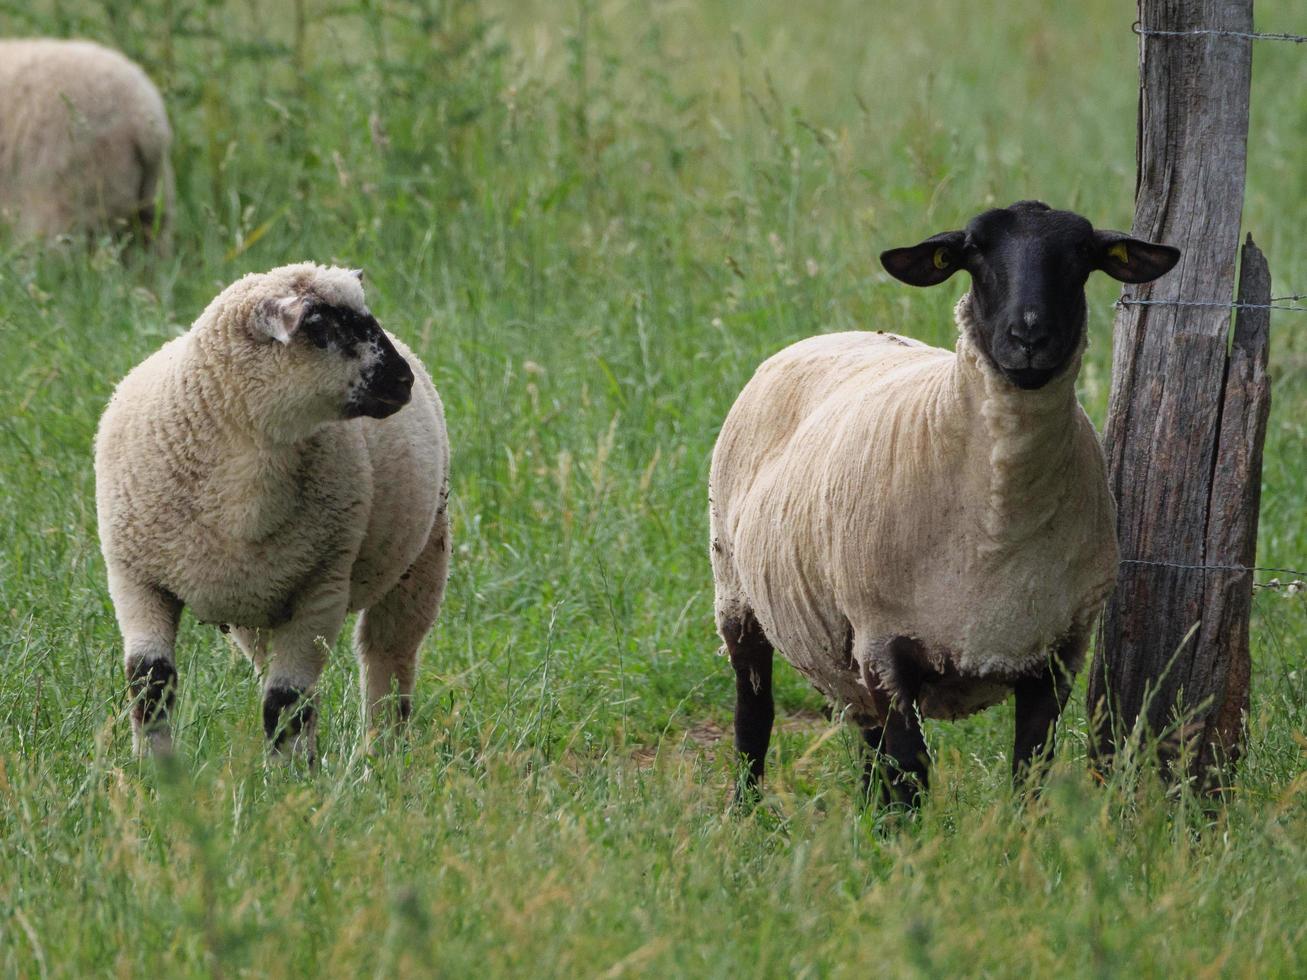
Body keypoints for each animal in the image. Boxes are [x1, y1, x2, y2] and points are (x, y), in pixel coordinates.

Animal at [94, 265, 452, 763]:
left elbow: (287, 703)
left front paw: (289, 776)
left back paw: (381, 755)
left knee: (386, 659)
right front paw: (153, 769)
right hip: (258, 599)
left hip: (421, 559)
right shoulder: (136, 579)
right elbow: (151, 682)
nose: (403, 382)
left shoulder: (321, 590)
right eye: (319, 328)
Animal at [716, 201, 1186, 804]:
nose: (1029, 335)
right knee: (754, 714)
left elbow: (1029, 772)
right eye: (974, 251)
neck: (997, 523)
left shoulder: (1057, 651)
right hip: (736, 593)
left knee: (864, 742)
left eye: (1083, 254)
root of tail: (830, 335)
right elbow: (911, 775)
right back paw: (745, 811)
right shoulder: (884, 645)